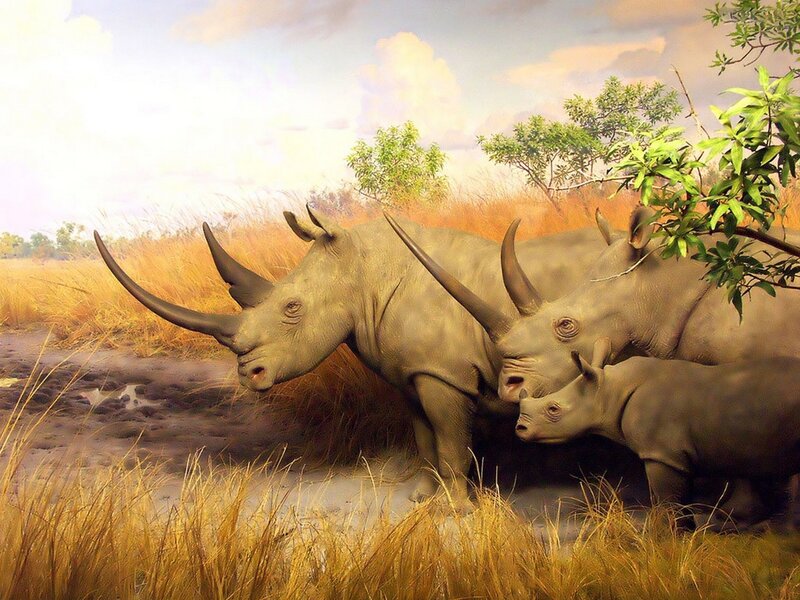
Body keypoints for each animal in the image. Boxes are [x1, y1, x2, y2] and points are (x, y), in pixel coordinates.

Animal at [94, 206, 609, 510]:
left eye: (292, 308)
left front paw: (456, 512)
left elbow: (449, 444)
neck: (364, 272)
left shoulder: (443, 374)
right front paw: (421, 499)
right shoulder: (413, 373)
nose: (249, 374)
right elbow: (425, 440)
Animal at [515, 341, 800, 529]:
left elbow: (668, 502)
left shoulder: (662, 454)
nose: (520, 429)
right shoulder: (673, 454)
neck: (609, 390)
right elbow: (678, 502)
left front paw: (672, 539)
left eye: (553, 409)